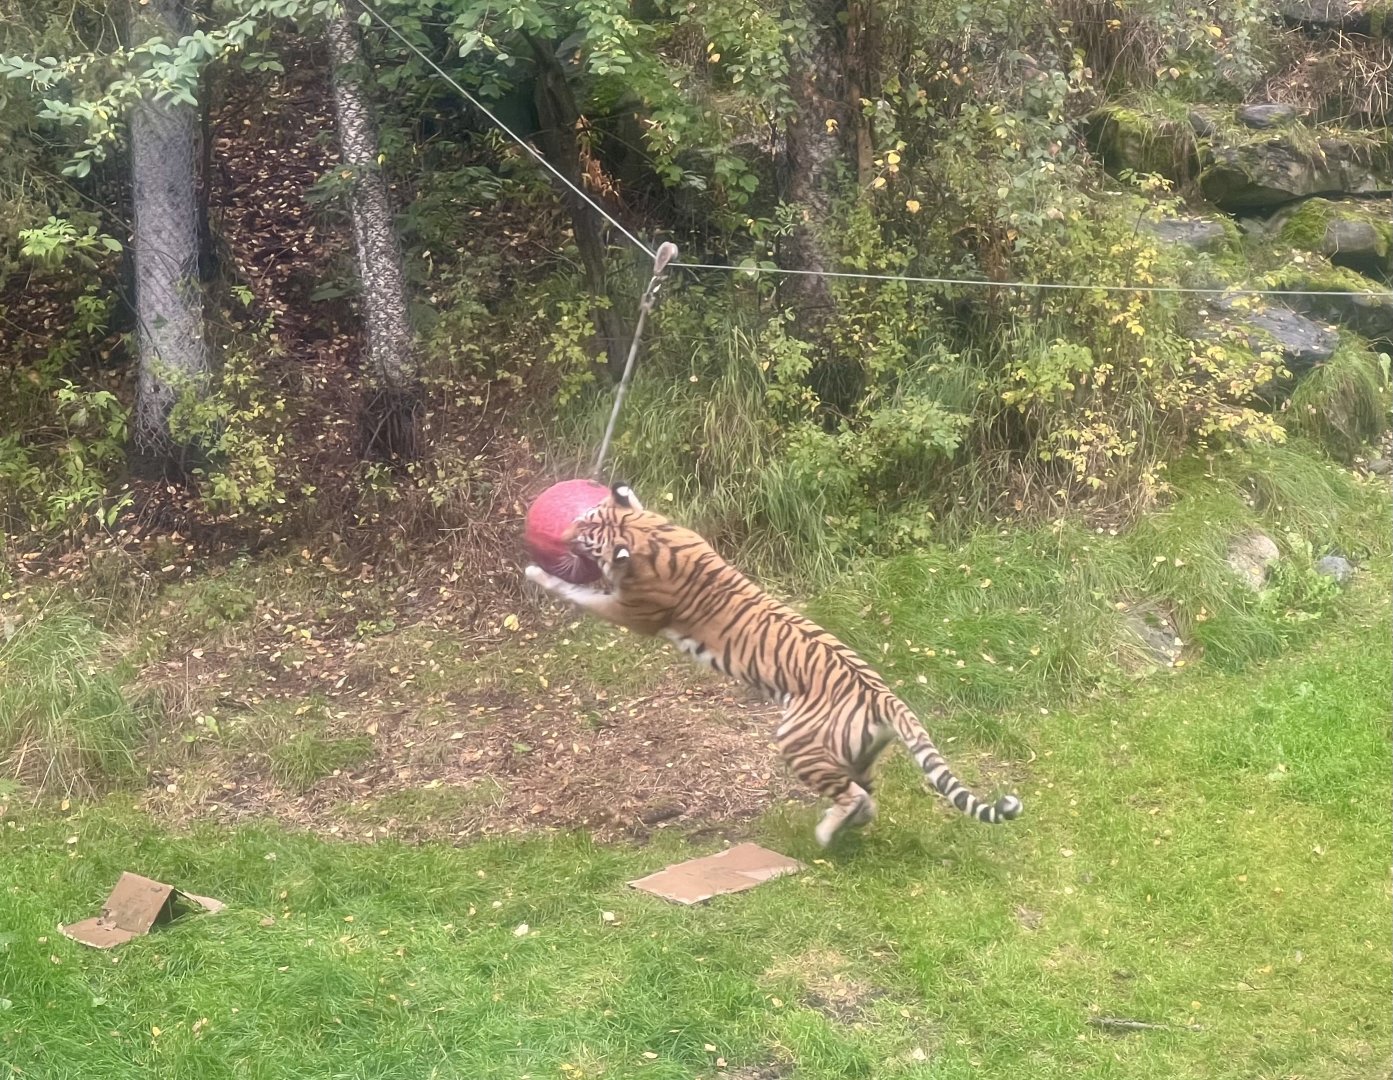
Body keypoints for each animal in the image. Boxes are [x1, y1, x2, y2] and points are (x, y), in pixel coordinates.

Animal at [524, 484, 1023, 847]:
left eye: (585, 535)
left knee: (852, 797)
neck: (651, 532)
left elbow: (578, 593)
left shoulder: (629, 611)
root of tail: (882, 695)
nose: (557, 536)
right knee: (865, 795)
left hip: (797, 741)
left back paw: (824, 834)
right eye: (584, 517)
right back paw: (849, 827)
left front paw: (536, 573)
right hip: (857, 755)